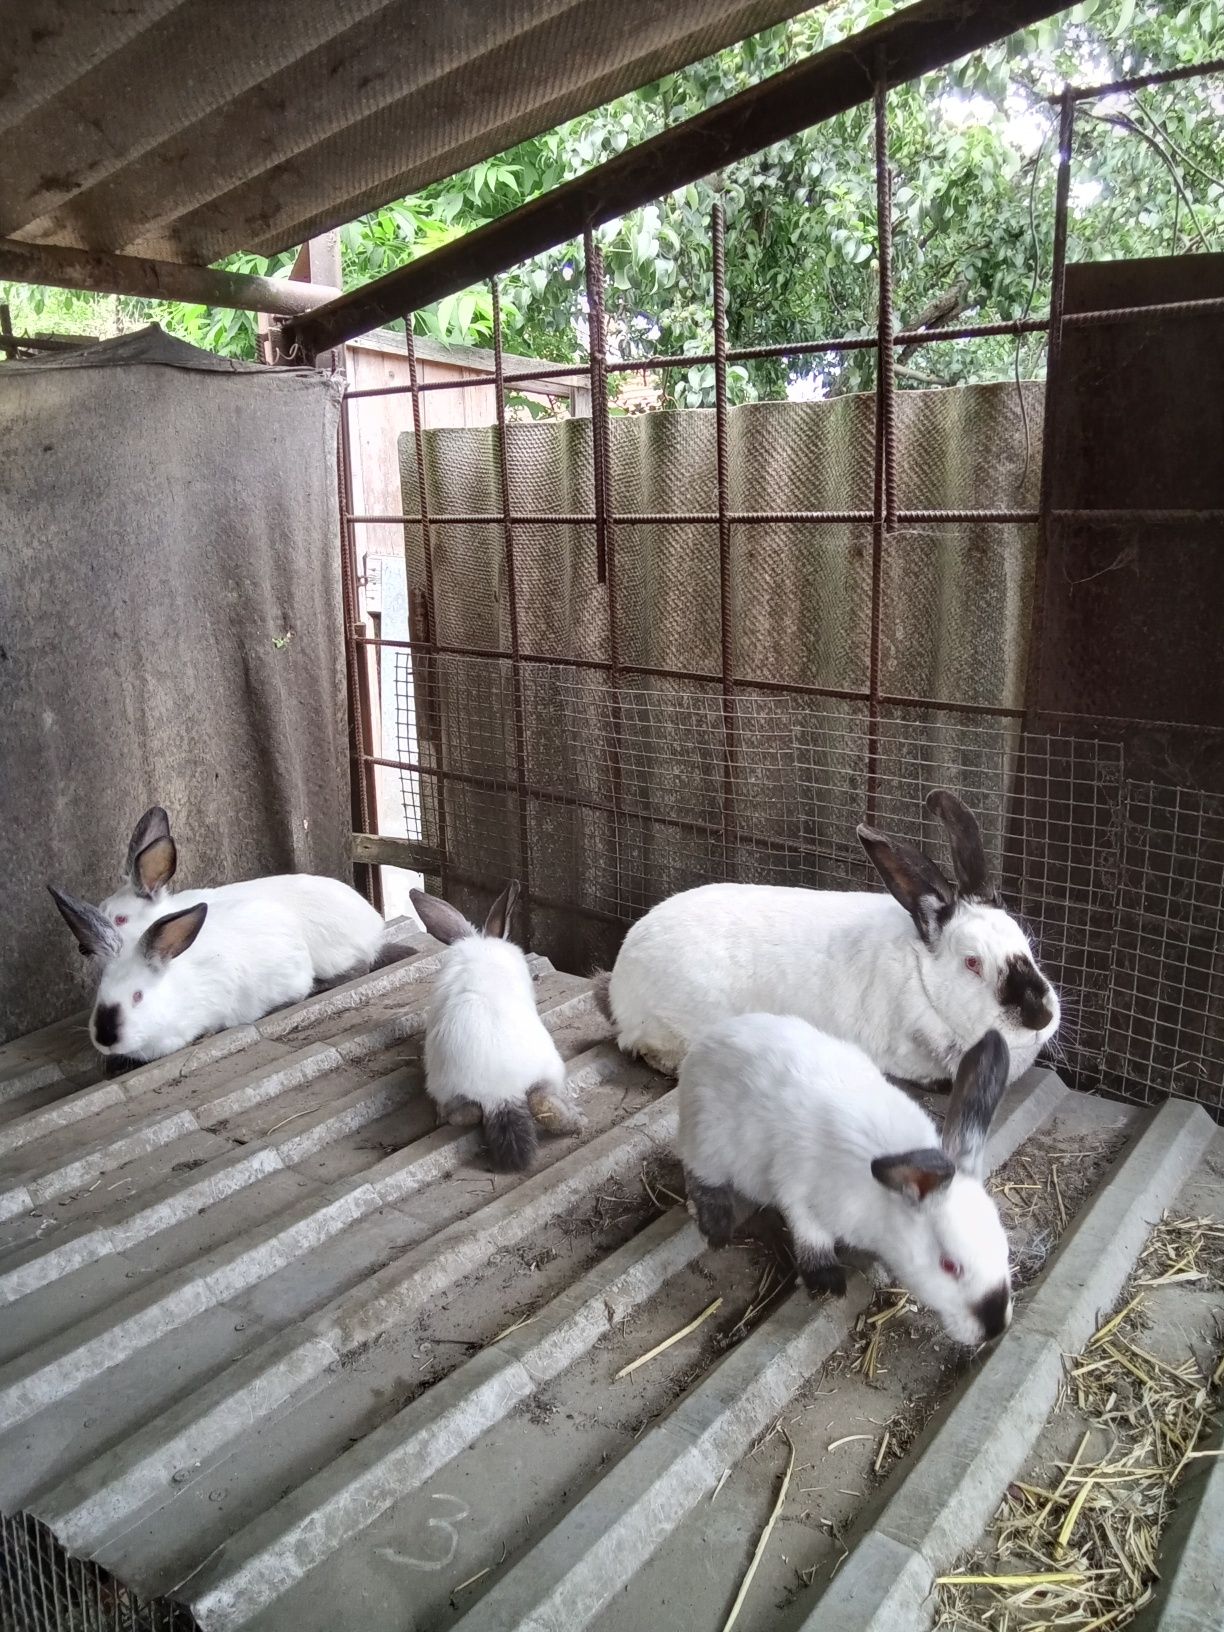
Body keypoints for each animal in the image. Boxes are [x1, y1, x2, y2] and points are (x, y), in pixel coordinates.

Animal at [682, 1018, 1018, 1351]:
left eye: (1004, 1245)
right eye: (949, 1265)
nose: (995, 1329)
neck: (886, 1199)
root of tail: (710, 1038)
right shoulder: (798, 1193)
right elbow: (812, 1238)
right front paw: (827, 1283)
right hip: (709, 1145)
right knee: (698, 1177)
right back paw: (717, 1227)